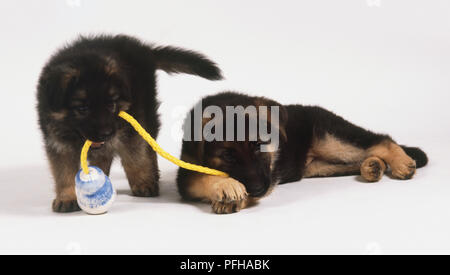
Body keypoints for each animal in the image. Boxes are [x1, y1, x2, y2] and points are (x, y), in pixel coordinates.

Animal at [37, 34, 222, 215]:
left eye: (111, 104)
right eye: (82, 108)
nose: (107, 133)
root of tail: (145, 50)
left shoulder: (131, 128)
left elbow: (136, 157)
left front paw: (142, 183)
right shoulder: (58, 143)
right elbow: (64, 172)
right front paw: (67, 197)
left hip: (146, 112)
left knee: (147, 151)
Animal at [177, 92, 428, 216]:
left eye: (259, 145)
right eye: (228, 156)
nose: (258, 190)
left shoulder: (270, 178)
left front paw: (233, 195)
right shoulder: (186, 174)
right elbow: (202, 177)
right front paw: (226, 187)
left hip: (331, 138)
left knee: (380, 139)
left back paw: (401, 162)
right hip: (321, 165)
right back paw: (373, 166)